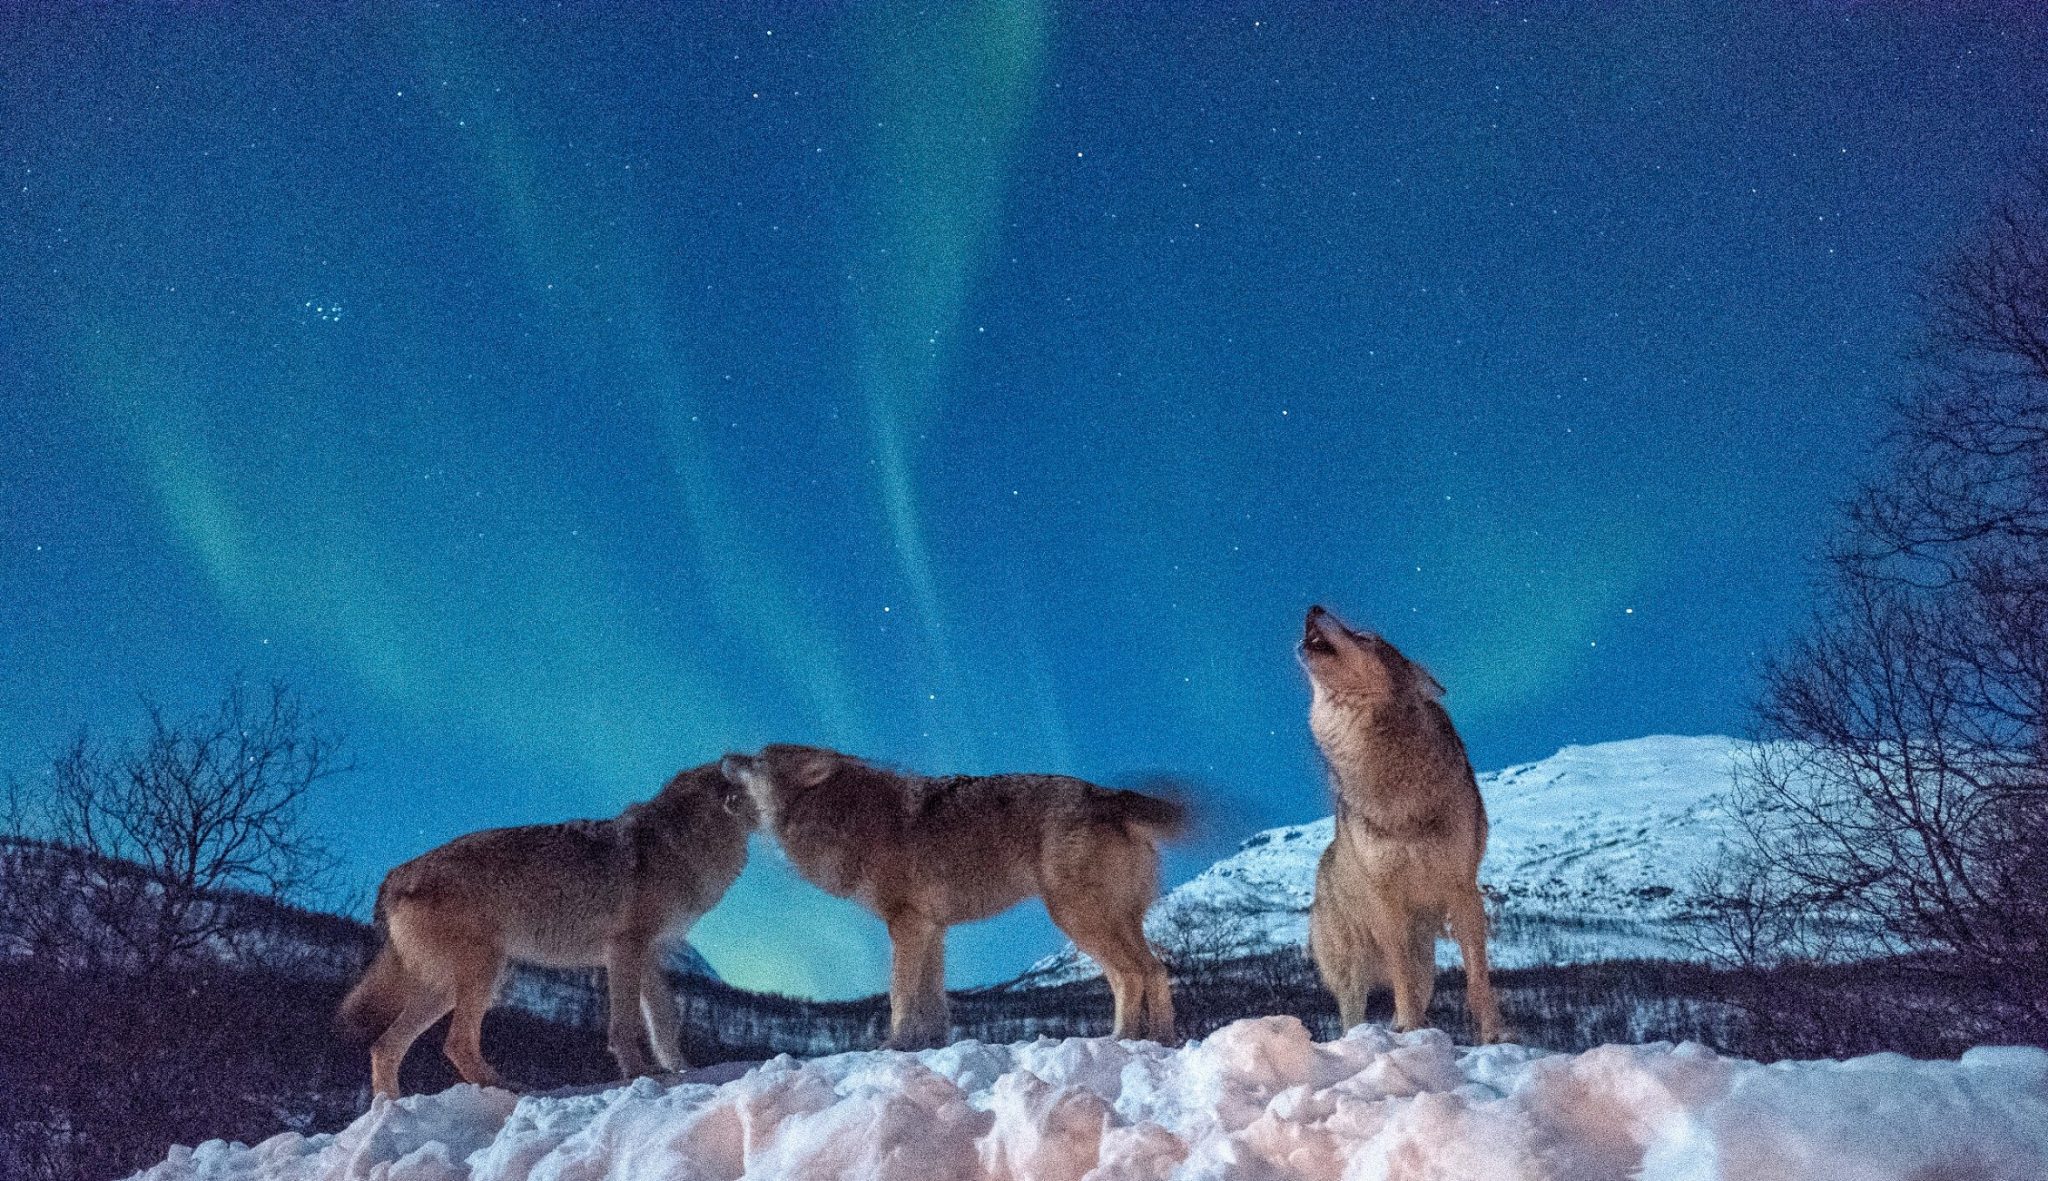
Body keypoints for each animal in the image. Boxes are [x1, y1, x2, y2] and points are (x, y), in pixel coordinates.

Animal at [335, 765, 753, 1097]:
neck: (685, 842)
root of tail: (395, 876)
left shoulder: (649, 955)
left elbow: (664, 1023)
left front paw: (681, 1070)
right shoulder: (625, 950)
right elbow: (625, 1025)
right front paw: (639, 1074)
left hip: (450, 989)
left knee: (386, 1047)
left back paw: (388, 1111)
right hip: (486, 973)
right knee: (455, 1044)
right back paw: (506, 1088)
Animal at [716, 740, 1187, 1043]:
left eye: (756, 759)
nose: (722, 757)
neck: (841, 817)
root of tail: (1108, 794)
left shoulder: (906, 924)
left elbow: (899, 995)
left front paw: (893, 1047)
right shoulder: (932, 929)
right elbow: (933, 1003)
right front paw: (931, 1047)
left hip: (1076, 919)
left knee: (1132, 974)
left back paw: (1123, 1040)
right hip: (1111, 922)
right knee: (1153, 970)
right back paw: (1159, 1041)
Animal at [1294, 605, 1507, 1039]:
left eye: (1364, 637)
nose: (1313, 608)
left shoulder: (1463, 889)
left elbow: (1477, 978)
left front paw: (1492, 1036)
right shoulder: (1386, 901)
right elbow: (1401, 980)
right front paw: (1410, 1030)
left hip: (1426, 959)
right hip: (1353, 969)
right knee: (1355, 1012)